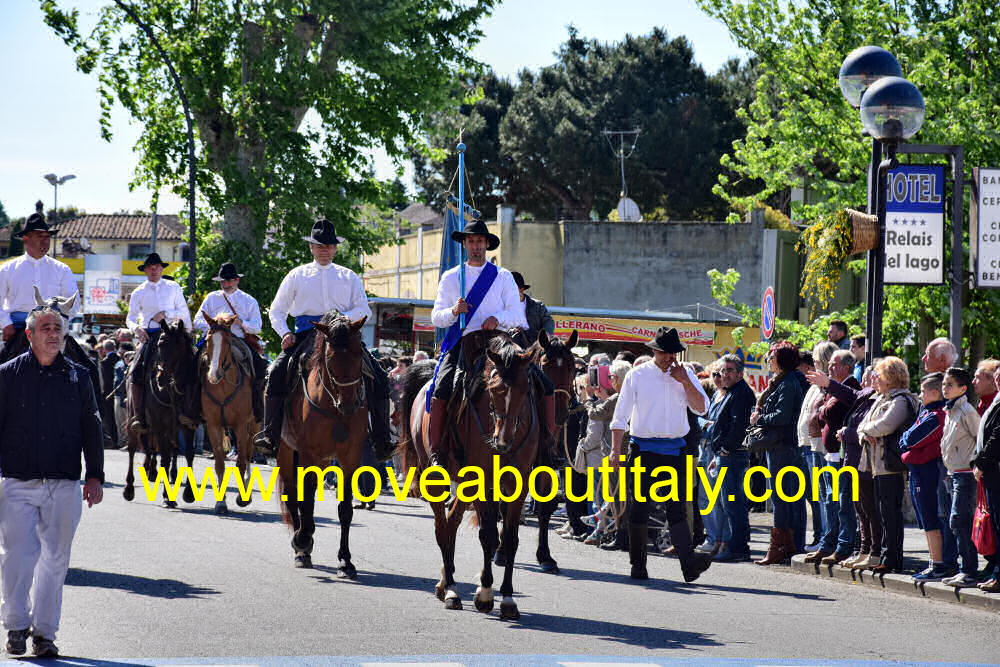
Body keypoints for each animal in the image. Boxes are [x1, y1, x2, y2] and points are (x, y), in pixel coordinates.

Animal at [199, 314, 258, 516]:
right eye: (208, 340)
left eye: (227, 341)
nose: (213, 375)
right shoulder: (213, 425)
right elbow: (219, 464)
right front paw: (220, 503)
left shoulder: (241, 425)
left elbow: (240, 462)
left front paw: (242, 498)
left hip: (253, 426)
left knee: (248, 454)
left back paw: (246, 493)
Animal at [276, 314, 370, 576]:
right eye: (330, 357)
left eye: (359, 352)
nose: (348, 404)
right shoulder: (308, 454)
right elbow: (305, 500)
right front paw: (302, 541)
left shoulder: (350, 458)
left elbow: (345, 509)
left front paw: (345, 561)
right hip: (287, 453)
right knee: (292, 495)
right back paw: (301, 546)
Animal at [402, 334, 540, 620]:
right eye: (494, 388)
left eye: (525, 389)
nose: (502, 440)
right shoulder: (481, 482)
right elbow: (488, 535)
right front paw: (485, 593)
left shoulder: (517, 485)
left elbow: (510, 540)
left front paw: (508, 598)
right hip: (437, 479)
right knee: (442, 527)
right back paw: (452, 589)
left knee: (452, 522)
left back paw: (445, 582)